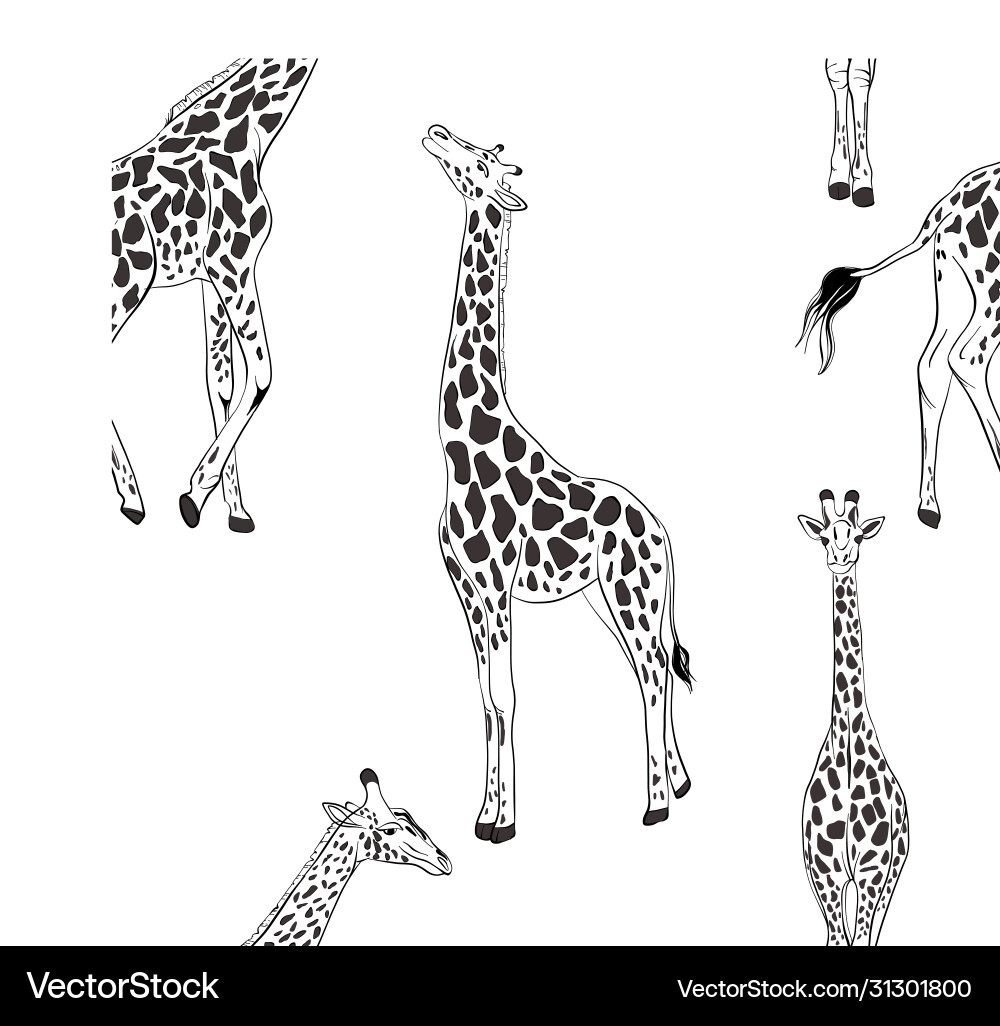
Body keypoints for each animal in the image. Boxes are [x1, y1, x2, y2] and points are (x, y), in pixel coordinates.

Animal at [111, 58, 317, 530]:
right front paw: (195, 492)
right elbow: (261, 375)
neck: (251, 127)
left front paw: (235, 510)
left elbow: (220, 383)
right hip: (127, 283)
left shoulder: (209, 279)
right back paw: (133, 497)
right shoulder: (233, 263)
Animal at [423, 125, 694, 844]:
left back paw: (656, 805)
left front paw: (504, 823)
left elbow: (507, 695)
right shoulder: (466, 587)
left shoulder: (494, 585)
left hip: (631, 595)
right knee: (655, 668)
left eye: (481, 162)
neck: (459, 445)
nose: (436, 132)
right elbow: (487, 698)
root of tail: (664, 534)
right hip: (611, 598)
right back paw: (680, 783)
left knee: (654, 673)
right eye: (468, 147)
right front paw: (483, 814)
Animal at [797, 162, 1000, 529]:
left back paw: (929, 505)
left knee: (933, 364)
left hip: (952, 280)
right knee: (966, 357)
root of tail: (948, 205)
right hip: (987, 286)